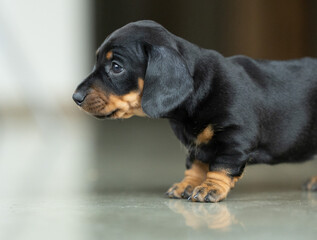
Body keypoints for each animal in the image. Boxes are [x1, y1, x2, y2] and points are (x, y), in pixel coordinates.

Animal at [72, 20, 316, 202]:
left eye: (116, 67)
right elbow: (196, 166)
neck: (202, 90)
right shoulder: (197, 144)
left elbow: (221, 166)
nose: (76, 98)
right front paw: (187, 185)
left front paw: (211, 188)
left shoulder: (235, 139)